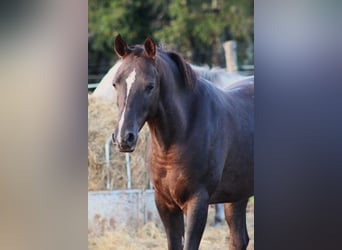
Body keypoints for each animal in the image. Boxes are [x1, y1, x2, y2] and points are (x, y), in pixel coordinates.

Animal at [112, 35, 254, 250]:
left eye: (150, 86)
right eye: (115, 84)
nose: (123, 138)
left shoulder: (197, 202)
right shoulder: (165, 204)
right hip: (237, 194)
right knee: (239, 239)